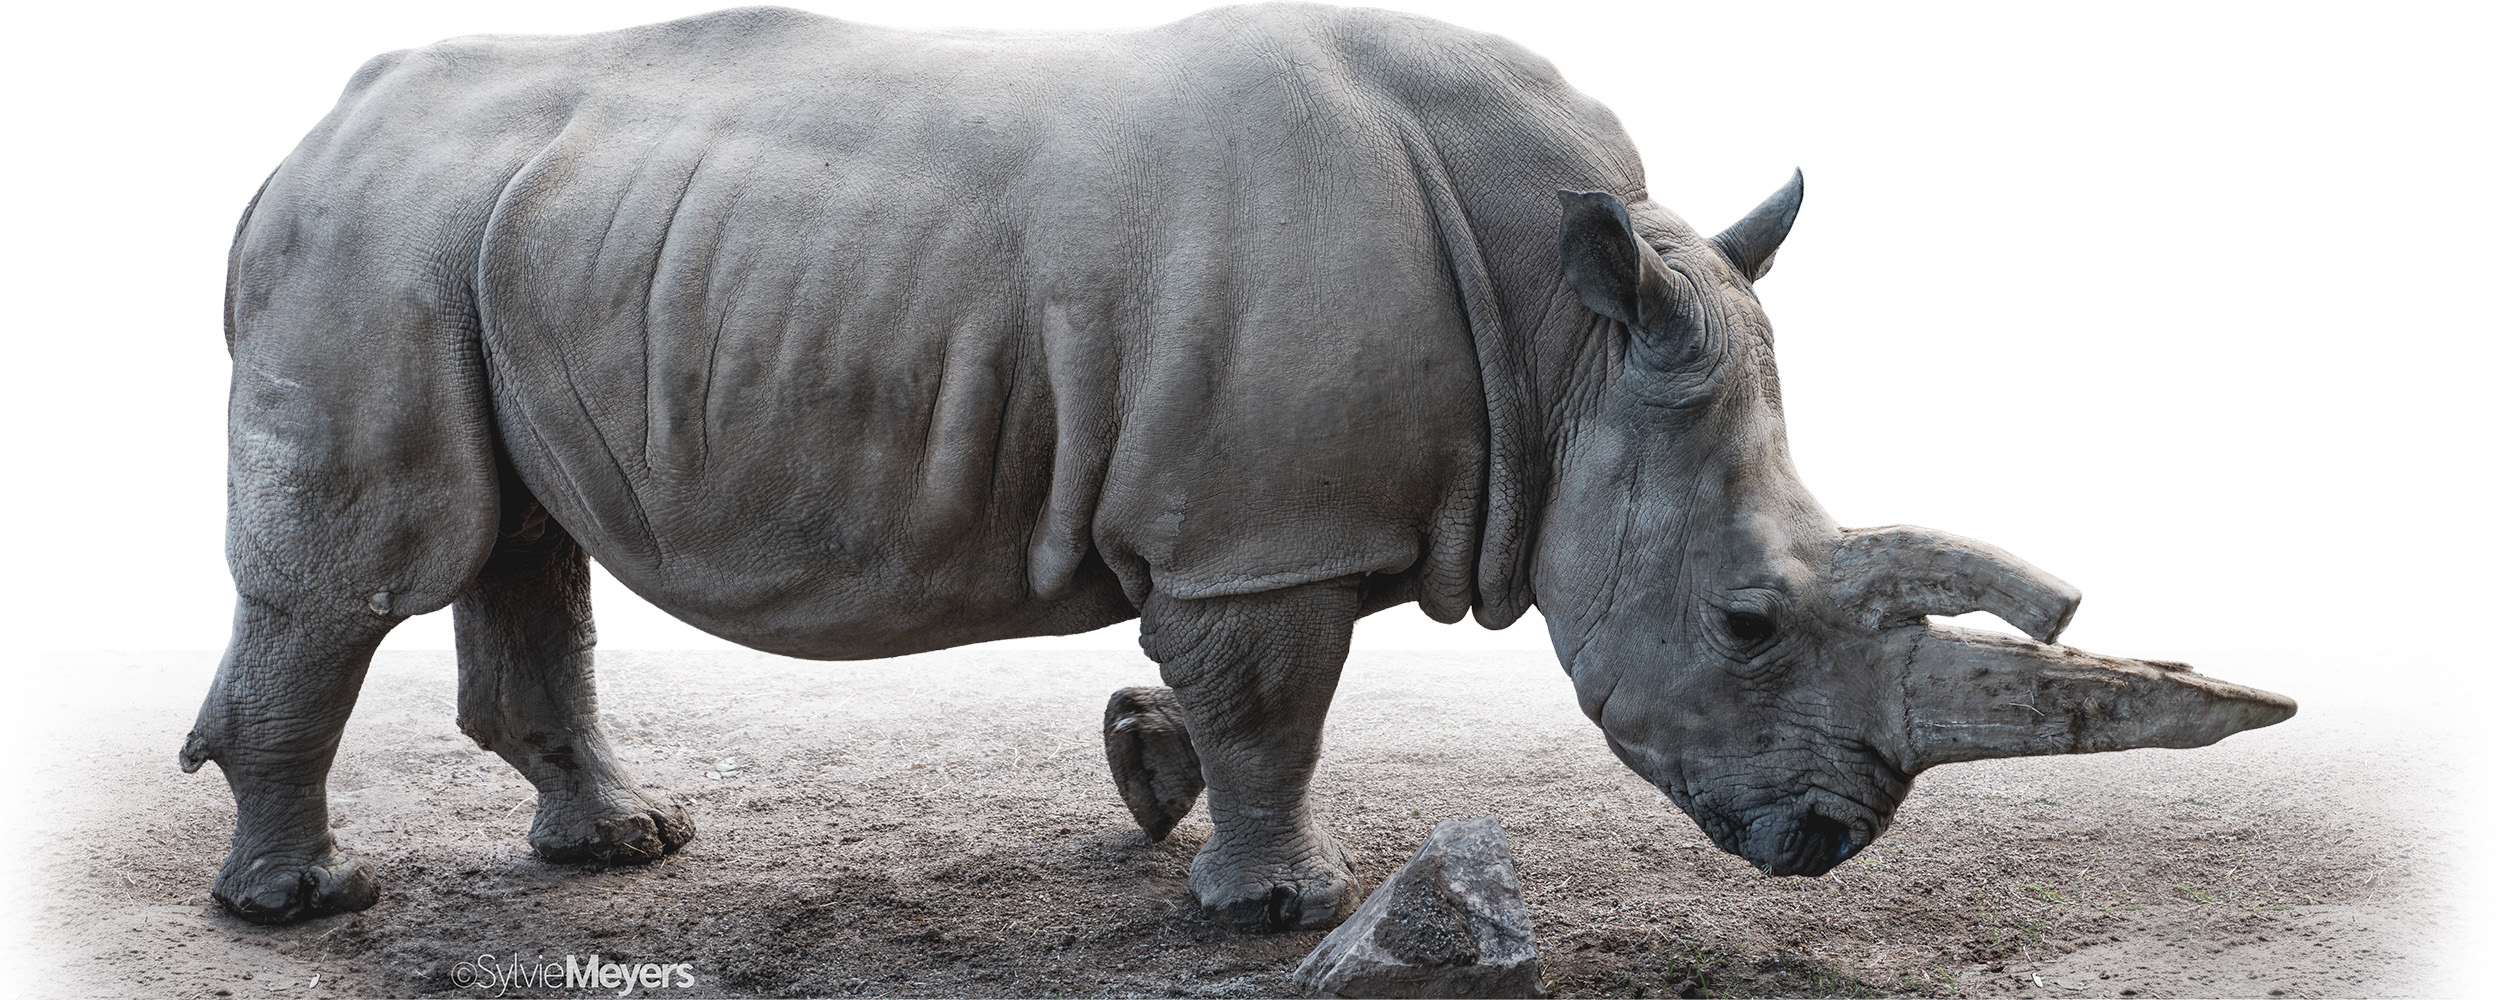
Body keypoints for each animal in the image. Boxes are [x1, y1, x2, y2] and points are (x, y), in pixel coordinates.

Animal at [184, 3, 2294, 930]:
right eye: (1750, 622)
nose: (1830, 846)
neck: (1570, 345)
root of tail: (298, 142)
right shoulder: (1260, 532)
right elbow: (1280, 702)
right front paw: (1276, 910)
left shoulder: (1232, 524)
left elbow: (1216, 692)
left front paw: (1144, 774)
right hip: (374, 245)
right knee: (366, 575)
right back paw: (305, 907)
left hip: (485, 246)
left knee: (520, 545)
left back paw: (622, 850)